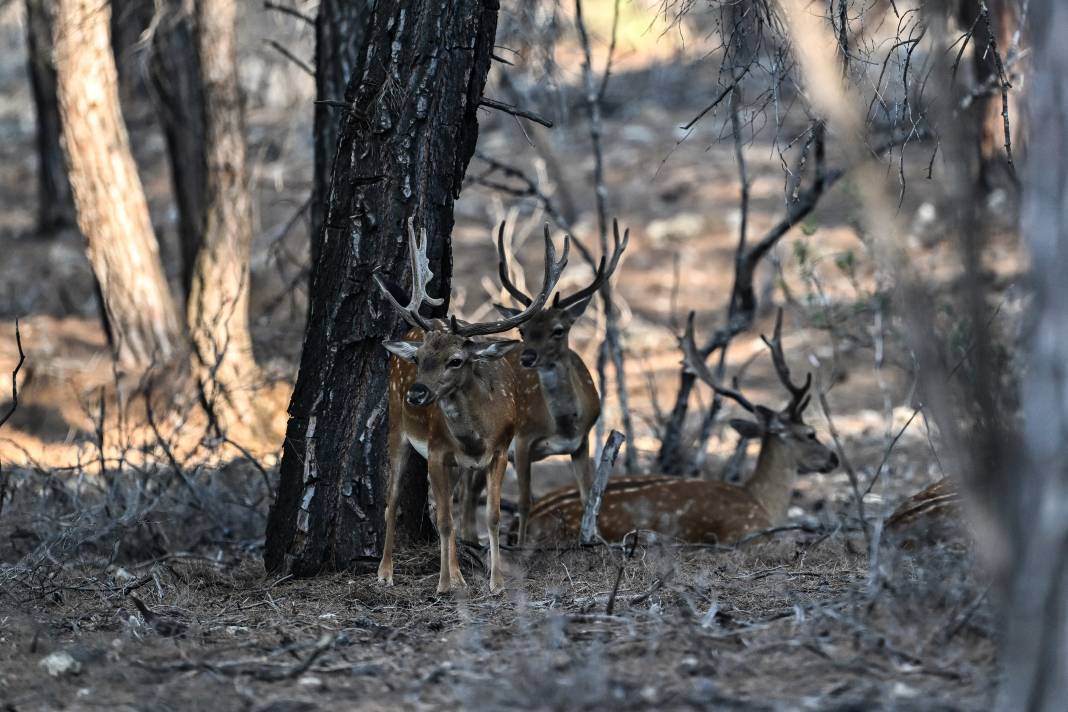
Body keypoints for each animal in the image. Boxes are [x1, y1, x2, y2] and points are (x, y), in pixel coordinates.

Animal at [380, 218, 572, 597]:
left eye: (456, 360)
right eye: (420, 359)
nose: (417, 393)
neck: (475, 437)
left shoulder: (500, 451)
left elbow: (492, 517)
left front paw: (495, 582)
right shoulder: (437, 450)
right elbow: (443, 520)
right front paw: (443, 584)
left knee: (444, 505)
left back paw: (458, 575)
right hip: (397, 427)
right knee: (392, 499)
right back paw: (386, 573)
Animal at [457, 219, 627, 542]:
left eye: (558, 330)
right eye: (523, 331)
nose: (527, 357)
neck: (562, 423)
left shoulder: (582, 442)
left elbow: (587, 496)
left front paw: (591, 539)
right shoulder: (523, 440)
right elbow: (526, 501)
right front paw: (521, 544)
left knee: (470, 494)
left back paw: (470, 539)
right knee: (463, 492)